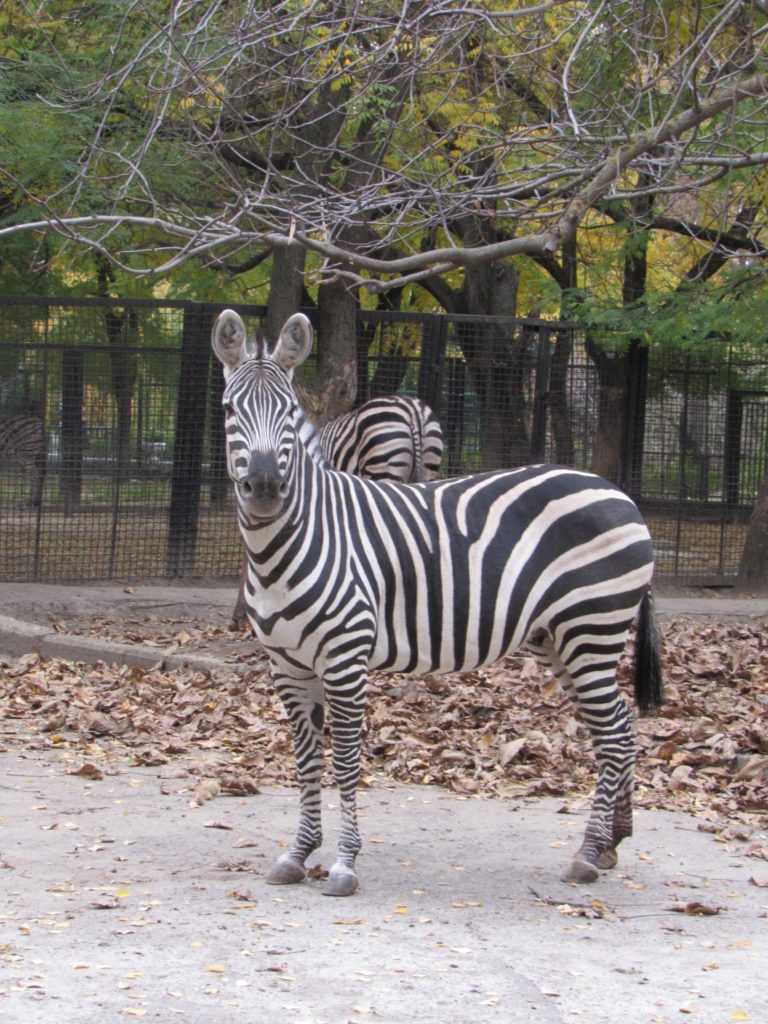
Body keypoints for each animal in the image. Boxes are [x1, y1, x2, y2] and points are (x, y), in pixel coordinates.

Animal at [214, 309, 663, 897]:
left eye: (290, 411)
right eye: (229, 409)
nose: (265, 487)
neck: (289, 545)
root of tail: (620, 493)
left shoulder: (345, 659)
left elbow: (346, 761)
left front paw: (345, 863)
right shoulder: (286, 666)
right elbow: (307, 761)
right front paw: (298, 852)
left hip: (592, 627)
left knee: (613, 734)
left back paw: (587, 855)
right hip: (560, 639)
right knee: (622, 726)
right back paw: (613, 842)